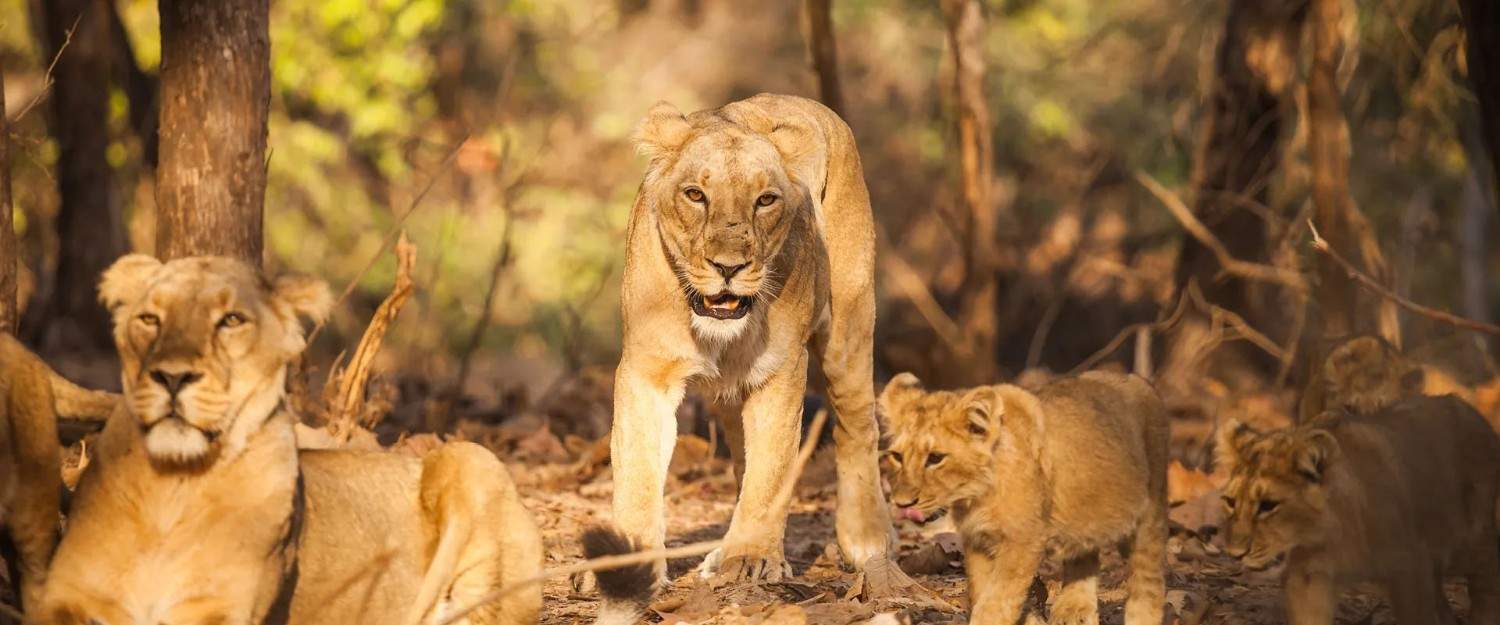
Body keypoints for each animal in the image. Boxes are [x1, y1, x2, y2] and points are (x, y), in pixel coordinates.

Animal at [38, 253, 546, 623]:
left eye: (231, 320)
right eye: (149, 319)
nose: (172, 377)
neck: (172, 485)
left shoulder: (220, 611)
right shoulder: (63, 596)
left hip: (470, 456)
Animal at [597, 95, 900, 617]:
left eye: (765, 200)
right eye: (695, 195)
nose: (729, 267)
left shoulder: (781, 372)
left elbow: (771, 469)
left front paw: (752, 559)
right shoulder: (646, 371)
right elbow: (636, 470)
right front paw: (630, 566)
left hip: (849, 328)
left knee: (857, 426)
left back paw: (866, 541)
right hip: (728, 395)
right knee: (741, 455)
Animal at [876, 370, 1170, 623]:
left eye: (935, 458)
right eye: (897, 456)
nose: (902, 503)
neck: (976, 495)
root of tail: (1137, 379)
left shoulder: (1023, 540)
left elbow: (996, 601)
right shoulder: (978, 540)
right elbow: (982, 591)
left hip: (1150, 510)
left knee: (1149, 579)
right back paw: (1073, 611)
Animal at [1218, 395, 1500, 623]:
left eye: (1268, 505)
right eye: (1230, 502)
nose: (1235, 555)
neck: (1327, 539)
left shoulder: (1409, 569)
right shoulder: (1309, 579)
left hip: (1468, 542)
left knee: (1486, 580)